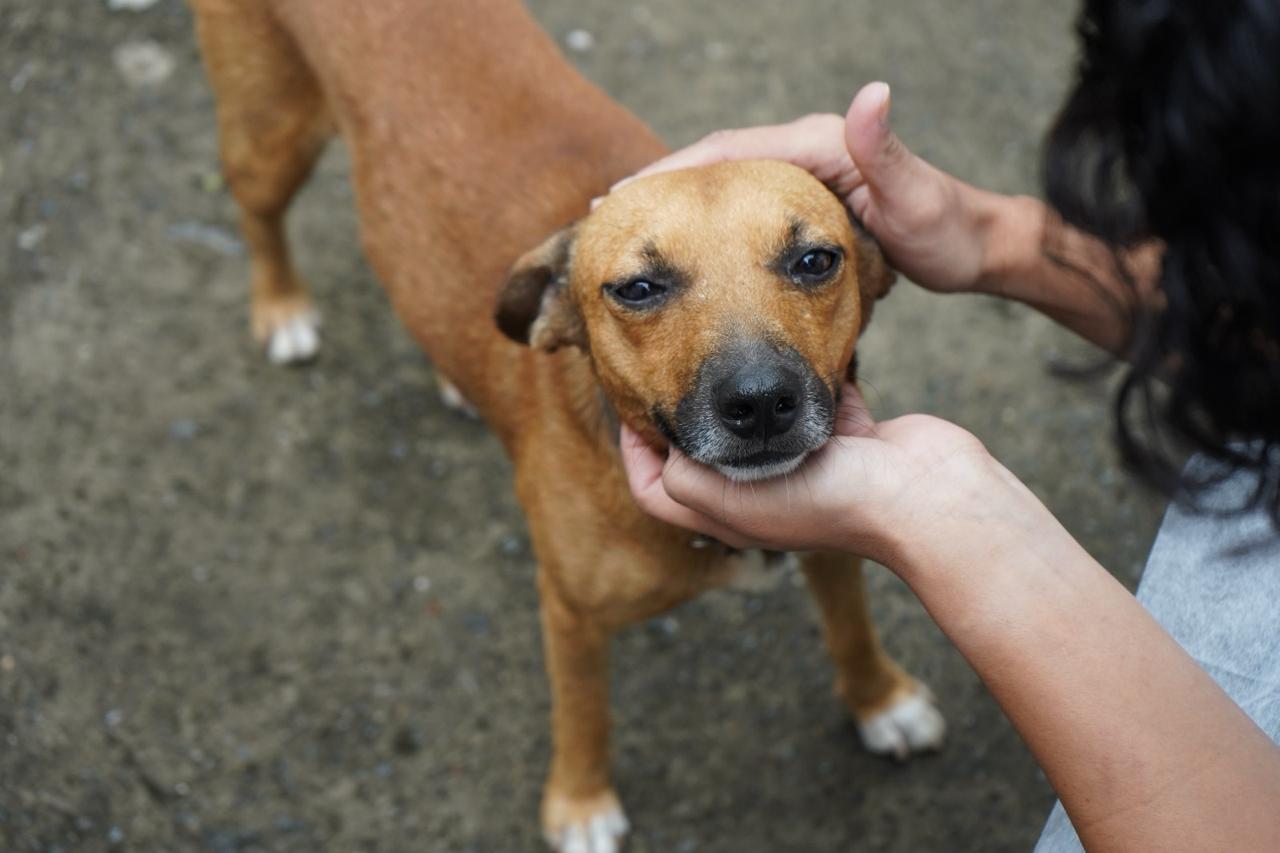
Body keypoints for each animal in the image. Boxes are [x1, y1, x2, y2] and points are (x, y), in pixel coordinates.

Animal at [192, 3, 942, 845]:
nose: (759, 402)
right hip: (270, 137)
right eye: (638, 288)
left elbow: (850, 623)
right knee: (255, 212)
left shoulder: (833, 540)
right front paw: (581, 803)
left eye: (815, 260)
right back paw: (281, 305)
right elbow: (585, 713)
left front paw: (880, 699)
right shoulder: (571, 612)